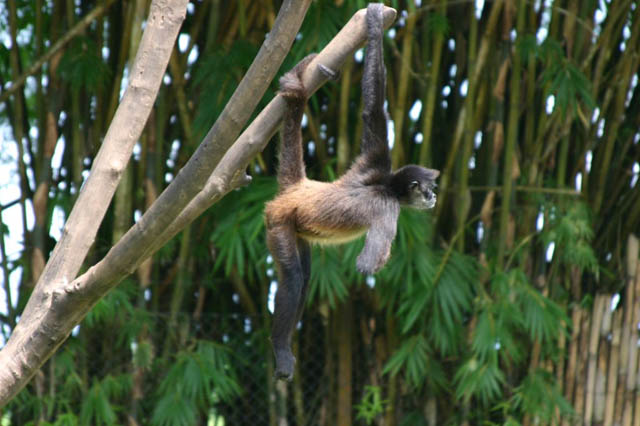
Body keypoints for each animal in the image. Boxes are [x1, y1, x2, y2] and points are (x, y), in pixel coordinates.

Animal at [265, 3, 440, 381]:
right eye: (429, 188)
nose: (434, 196)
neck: (385, 184)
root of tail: (297, 189)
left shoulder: (369, 164)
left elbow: (371, 112)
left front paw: (372, 26)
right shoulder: (388, 206)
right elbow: (368, 263)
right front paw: (374, 24)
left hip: (296, 227)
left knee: (304, 276)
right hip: (278, 222)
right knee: (294, 279)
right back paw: (281, 350)